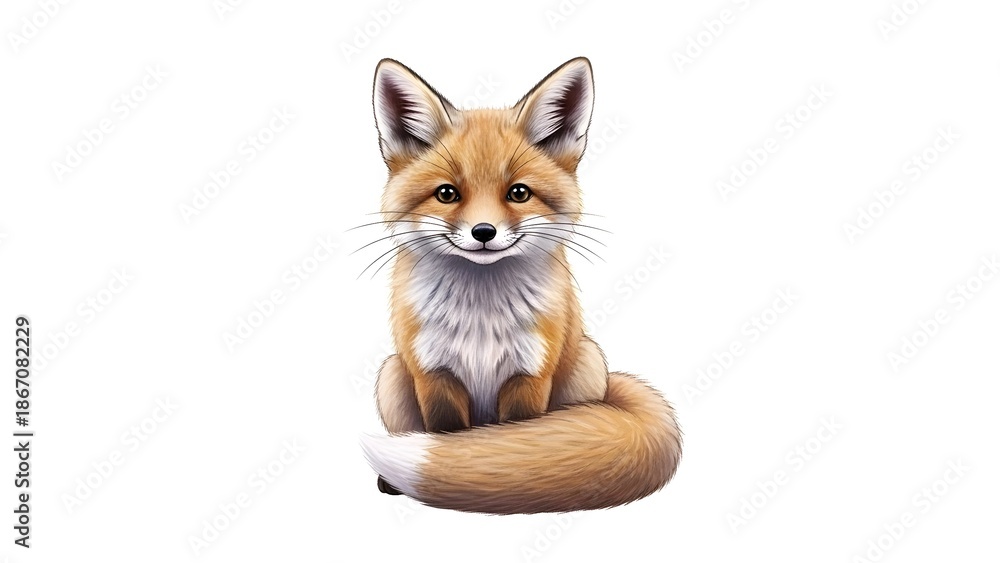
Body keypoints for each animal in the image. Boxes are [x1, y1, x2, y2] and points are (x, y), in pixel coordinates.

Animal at [359, 57, 682, 514]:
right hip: (391, 375)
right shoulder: (434, 374)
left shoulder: (529, 373)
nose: (483, 232)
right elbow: (448, 434)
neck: (480, 318)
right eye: (447, 194)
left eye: (519, 193)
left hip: (587, 362)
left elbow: (518, 443)